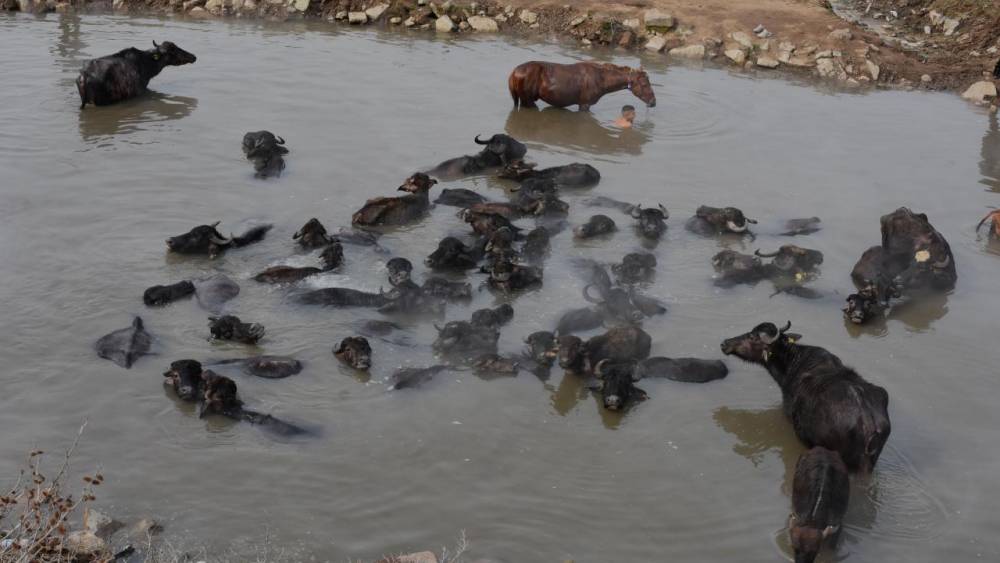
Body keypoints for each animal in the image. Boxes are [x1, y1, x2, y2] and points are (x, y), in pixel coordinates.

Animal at [508, 61, 656, 112]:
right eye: (644, 84)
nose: (653, 102)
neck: (604, 83)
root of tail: (513, 73)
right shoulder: (585, 103)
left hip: (519, 98)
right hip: (527, 99)